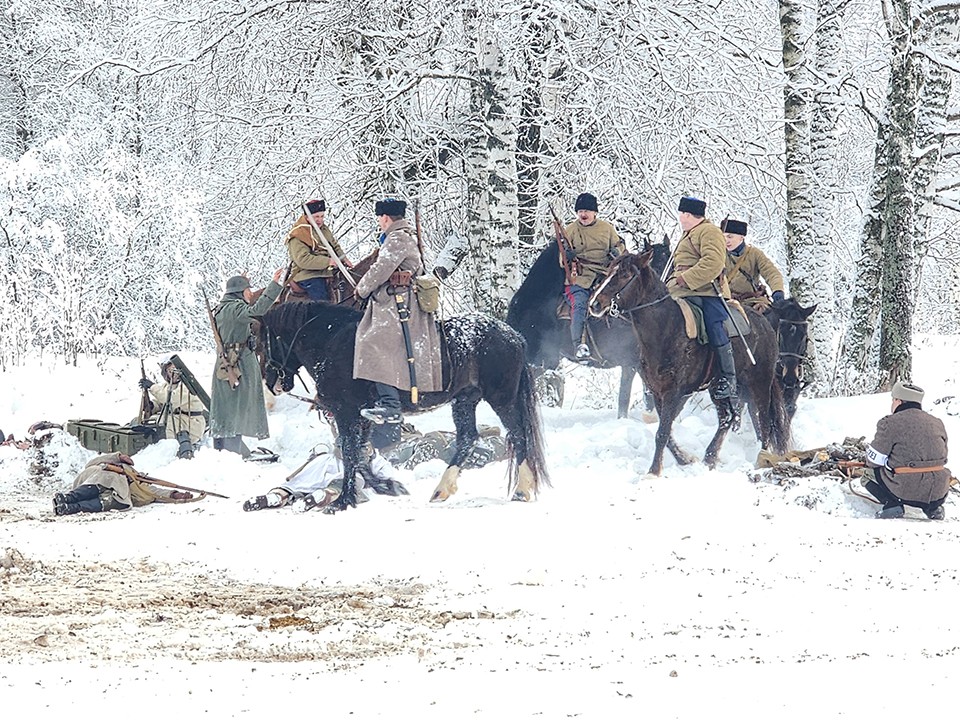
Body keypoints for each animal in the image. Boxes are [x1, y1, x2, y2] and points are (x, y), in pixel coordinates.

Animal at [260, 300, 548, 510]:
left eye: (265, 341)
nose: (271, 382)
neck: (333, 341)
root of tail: (514, 336)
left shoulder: (346, 413)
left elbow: (352, 455)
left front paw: (343, 500)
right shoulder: (362, 417)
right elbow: (361, 455)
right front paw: (387, 486)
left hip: (502, 399)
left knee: (518, 436)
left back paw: (522, 490)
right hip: (465, 400)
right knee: (467, 438)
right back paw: (441, 490)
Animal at [592, 250, 788, 476]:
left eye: (624, 275)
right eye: (609, 272)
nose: (595, 304)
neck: (666, 328)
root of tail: (766, 325)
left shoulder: (672, 392)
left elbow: (662, 432)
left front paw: (653, 471)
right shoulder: (658, 392)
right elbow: (666, 432)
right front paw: (685, 459)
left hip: (760, 384)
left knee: (764, 423)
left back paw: (760, 459)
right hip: (720, 388)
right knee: (727, 418)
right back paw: (709, 459)